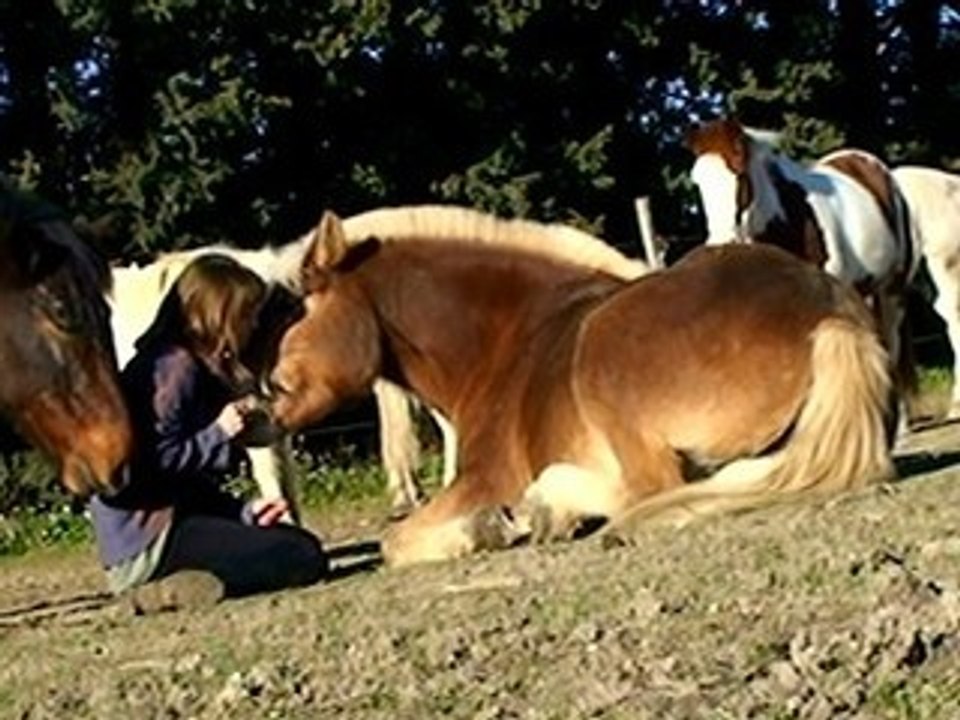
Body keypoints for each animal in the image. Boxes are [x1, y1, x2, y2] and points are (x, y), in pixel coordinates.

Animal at [267, 210, 894, 568]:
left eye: (299, 310)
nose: (268, 394)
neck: (503, 341)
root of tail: (828, 317)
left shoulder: (485, 478)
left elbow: (394, 545)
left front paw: (488, 528)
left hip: (607, 372)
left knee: (649, 491)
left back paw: (547, 510)